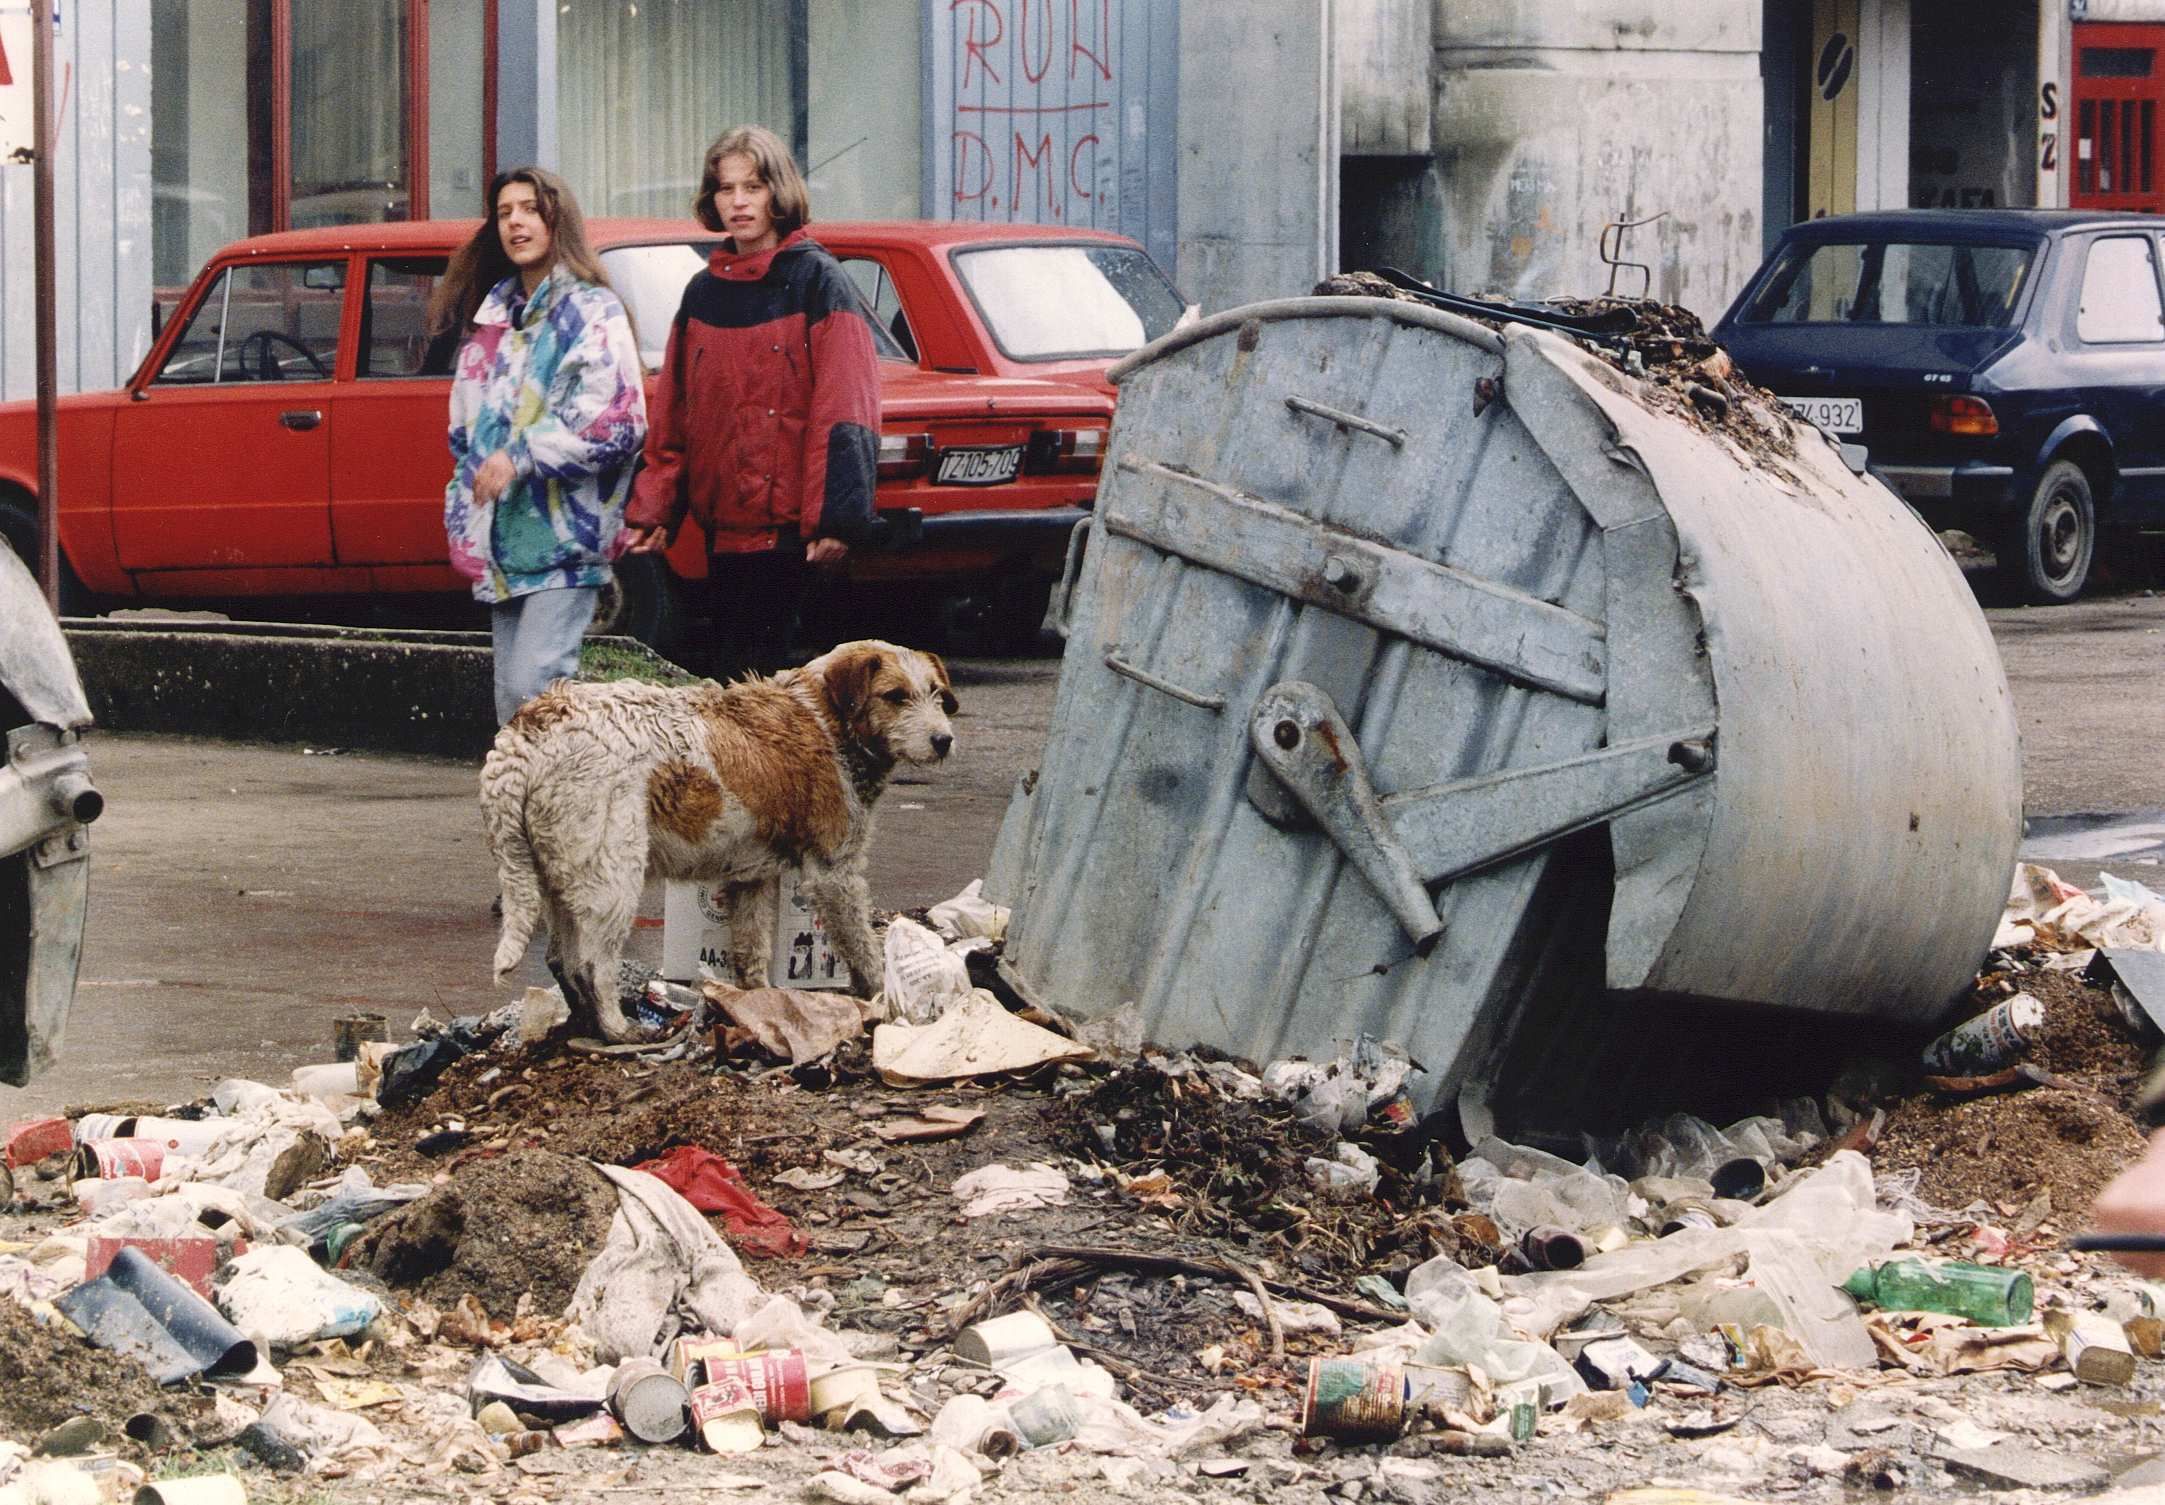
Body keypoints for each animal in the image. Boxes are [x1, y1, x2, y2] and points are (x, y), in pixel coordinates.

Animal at [482, 640, 956, 1043]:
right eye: (895, 696)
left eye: (936, 693)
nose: (944, 740)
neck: (827, 718)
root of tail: (529, 729)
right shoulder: (834, 874)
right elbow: (862, 946)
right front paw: (880, 996)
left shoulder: (751, 879)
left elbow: (750, 953)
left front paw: (758, 1003)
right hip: (611, 881)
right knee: (591, 964)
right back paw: (618, 1030)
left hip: (556, 880)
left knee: (560, 960)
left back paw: (583, 1025)